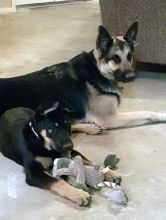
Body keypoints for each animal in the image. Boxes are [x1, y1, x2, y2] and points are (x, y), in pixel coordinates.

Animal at [0, 21, 166, 134]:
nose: (132, 76)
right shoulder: (111, 118)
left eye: (129, 56)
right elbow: (147, 112)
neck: (97, 71)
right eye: (115, 59)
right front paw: (161, 115)